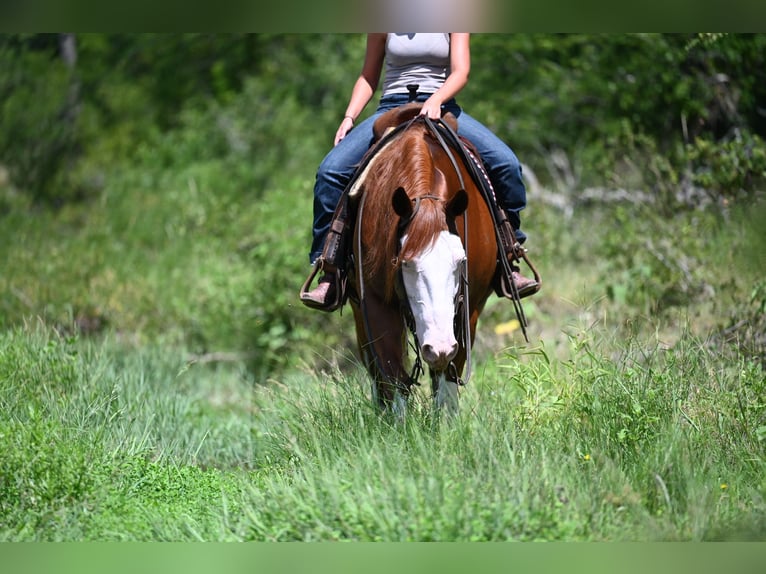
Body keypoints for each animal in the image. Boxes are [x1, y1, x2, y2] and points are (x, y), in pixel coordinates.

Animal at [346, 104, 499, 415]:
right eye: (405, 262)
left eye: (460, 261)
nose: (438, 347)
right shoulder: (374, 303)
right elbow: (393, 377)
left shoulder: (470, 307)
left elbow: (448, 379)